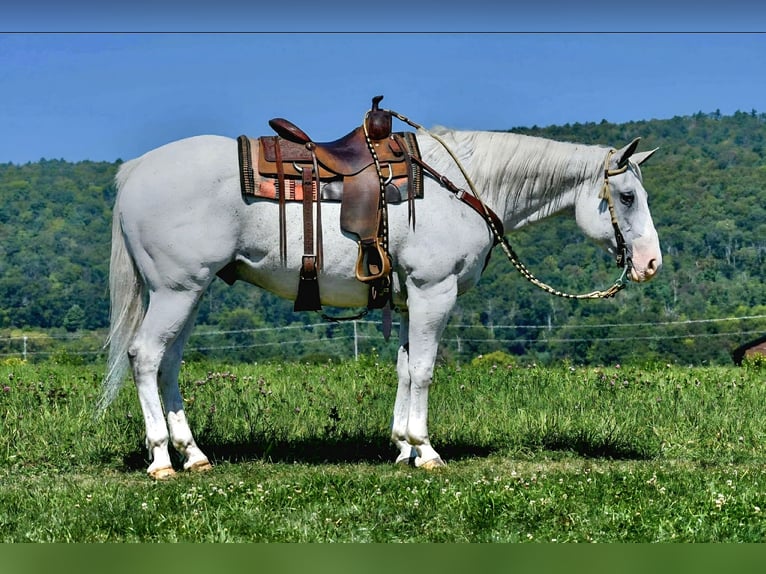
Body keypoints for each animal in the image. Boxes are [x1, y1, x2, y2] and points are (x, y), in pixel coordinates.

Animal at [101, 121, 662, 479]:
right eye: (627, 196)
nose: (651, 263)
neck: (462, 187)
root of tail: (135, 171)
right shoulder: (435, 292)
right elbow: (425, 370)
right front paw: (425, 450)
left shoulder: (412, 298)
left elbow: (405, 368)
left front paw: (401, 449)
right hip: (176, 291)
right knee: (146, 357)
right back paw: (161, 460)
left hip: (187, 293)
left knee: (169, 363)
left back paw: (193, 454)